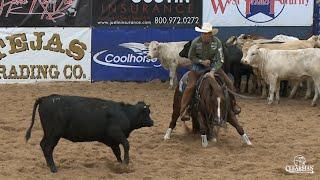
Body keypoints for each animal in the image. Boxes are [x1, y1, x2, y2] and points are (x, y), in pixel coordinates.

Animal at [25, 94, 153, 173]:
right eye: (147, 112)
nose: (152, 122)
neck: (124, 113)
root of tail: (45, 98)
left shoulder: (112, 141)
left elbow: (117, 152)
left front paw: (119, 164)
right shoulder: (116, 133)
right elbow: (126, 145)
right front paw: (126, 163)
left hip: (48, 133)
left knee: (43, 145)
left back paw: (49, 165)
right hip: (53, 134)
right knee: (47, 148)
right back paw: (53, 168)